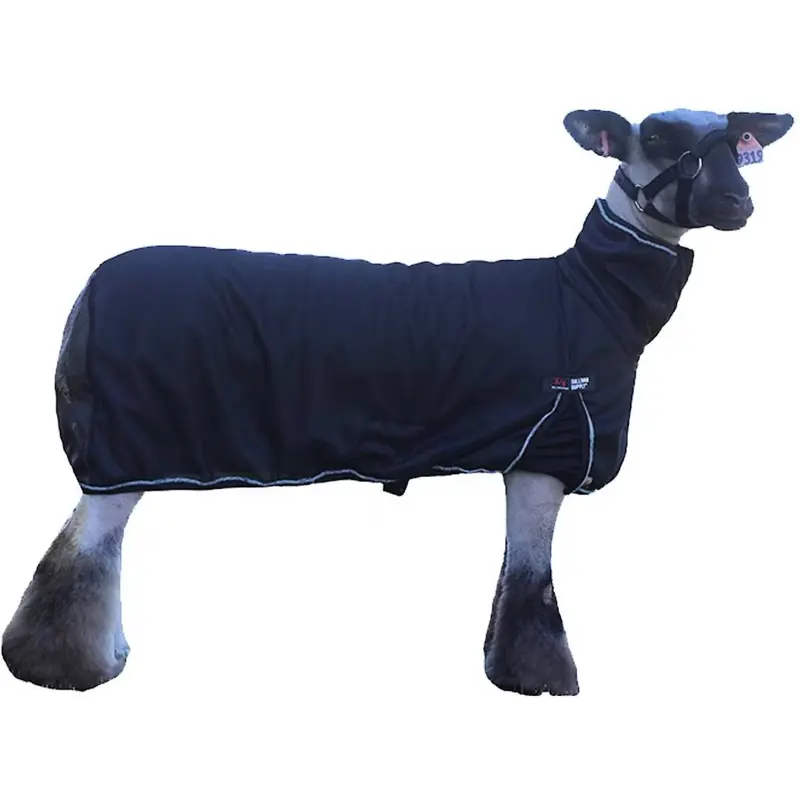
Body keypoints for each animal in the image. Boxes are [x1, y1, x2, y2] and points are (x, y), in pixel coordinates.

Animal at [2, 107, 793, 694]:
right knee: (78, 555)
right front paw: (542, 680)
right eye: (657, 136)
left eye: (736, 139)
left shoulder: (526, 453)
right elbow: (532, 582)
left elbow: (513, 576)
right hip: (122, 451)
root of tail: (85, 297)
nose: (739, 201)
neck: (588, 295)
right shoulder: (548, 448)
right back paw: (63, 669)